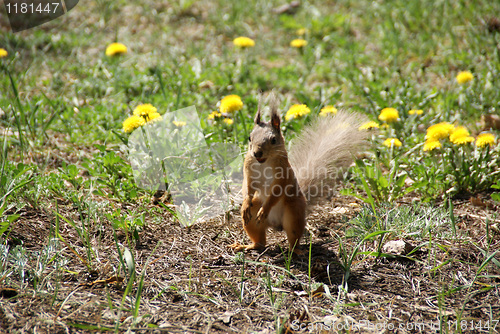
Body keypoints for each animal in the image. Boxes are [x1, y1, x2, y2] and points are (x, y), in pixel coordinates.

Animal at [230, 96, 368, 253]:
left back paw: (296, 251)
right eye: (249, 138)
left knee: (293, 237)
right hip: (252, 220)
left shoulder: (283, 175)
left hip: (293, 214)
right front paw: (245, 204)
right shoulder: (248, 170)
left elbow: (276, 191)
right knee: (260, 242)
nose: (257, 153)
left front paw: (265, 209)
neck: (263, 163)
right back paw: (246, 245)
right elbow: (247, 187)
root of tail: (275, 224)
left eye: (273, 140)